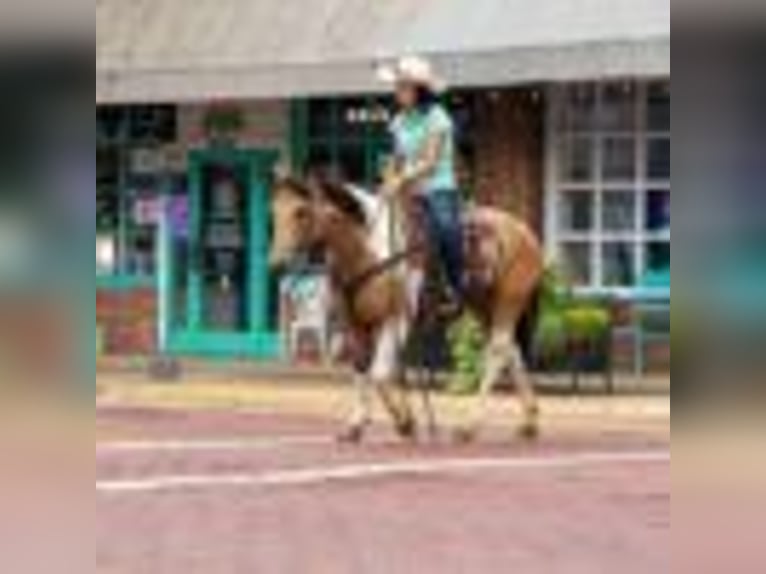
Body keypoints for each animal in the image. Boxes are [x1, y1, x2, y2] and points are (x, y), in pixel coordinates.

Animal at [269, 174, 544, 442]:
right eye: (274, 211)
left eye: (301, 211)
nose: (276, 263)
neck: (368, 251)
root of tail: (525, 232)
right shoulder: (354, 323)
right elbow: (362, 368)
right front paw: (356, 424)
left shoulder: (395, 320)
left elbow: (380, 374)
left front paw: (404, 423)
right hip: (483, 306)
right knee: (512, 350)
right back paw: (529, 422)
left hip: (508, 301)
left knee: (497, 351)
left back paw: (469, 427)